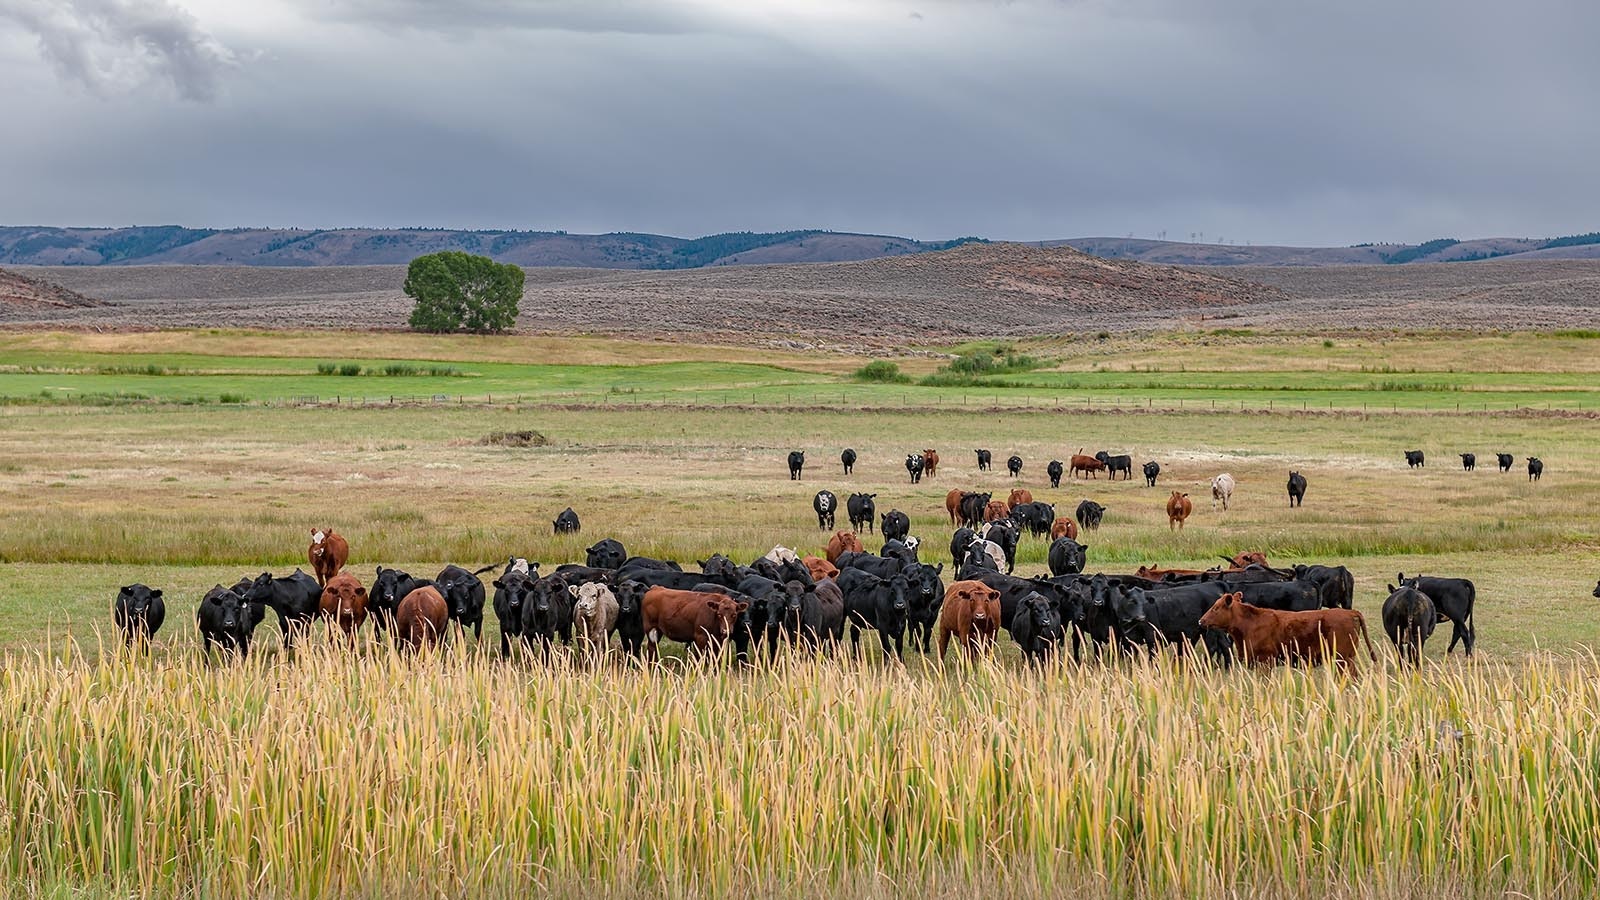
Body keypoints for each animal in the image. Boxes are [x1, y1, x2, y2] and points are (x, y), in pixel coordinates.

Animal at [1203, 589, 1376, 672]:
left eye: (1215, 608)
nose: (1201, 620)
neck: (1251, 622)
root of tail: (1350, 612)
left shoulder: (1265, 660)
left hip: (1343, 659)